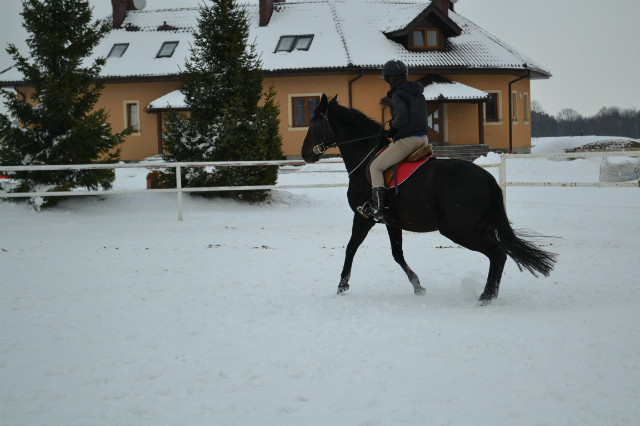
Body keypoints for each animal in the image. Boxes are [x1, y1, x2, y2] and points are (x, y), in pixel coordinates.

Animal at [300, 95, 556, 304]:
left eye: (313, 122)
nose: (305, 154)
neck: (365, 156)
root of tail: (486, 177)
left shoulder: (364, 217)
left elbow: (351, 248)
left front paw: (342, 285)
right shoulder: (391, 222)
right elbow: (397, 254)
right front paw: (418, 286)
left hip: (459, 230)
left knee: (498, 253)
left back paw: (485, 297)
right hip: (477, 227)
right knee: (499, 253)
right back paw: (489, 294)